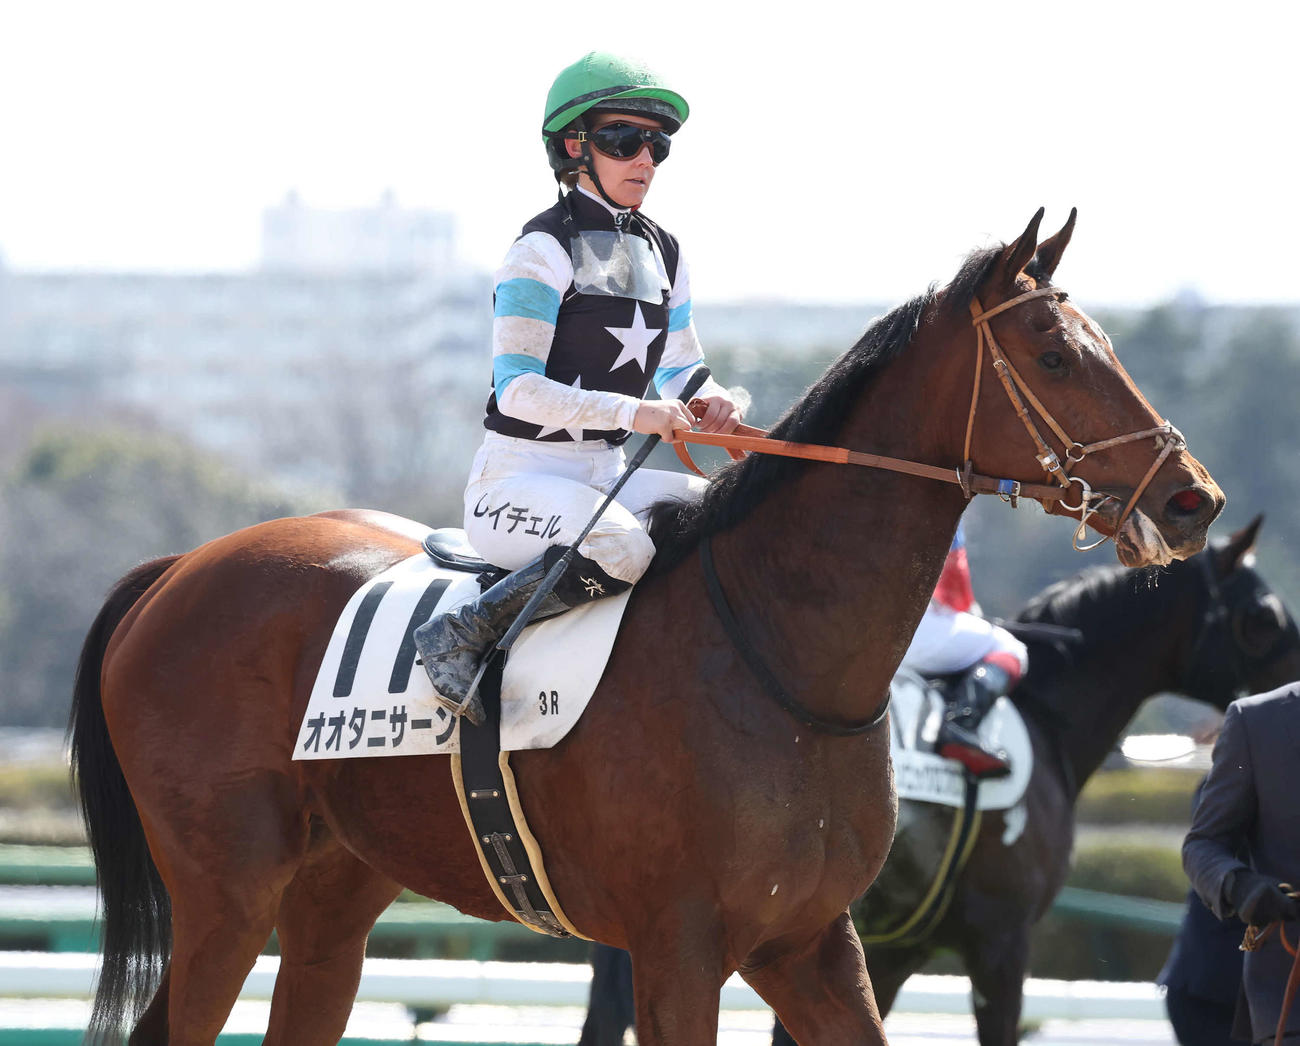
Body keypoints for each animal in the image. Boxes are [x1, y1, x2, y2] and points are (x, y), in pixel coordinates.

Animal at [69, 210, 1223, 1046]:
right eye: (1055, 353)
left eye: (1103, 342)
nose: (1191, 499)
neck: (780, 659)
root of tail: (176, 571)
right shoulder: (680, 946)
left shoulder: (814, 944)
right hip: (225, 892)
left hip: (333, 892)